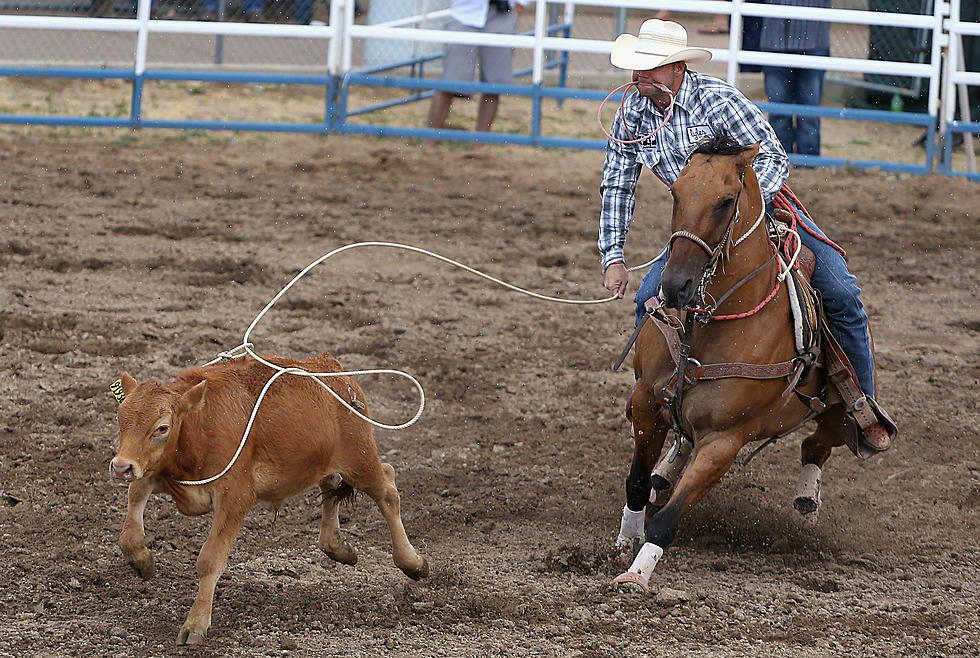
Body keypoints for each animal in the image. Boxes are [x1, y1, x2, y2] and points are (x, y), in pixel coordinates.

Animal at [109, 352, 426, 644]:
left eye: (161, 427)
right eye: (120, 419)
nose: (121, 466)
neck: (199, 428)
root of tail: (335, 371)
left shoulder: (236, 496)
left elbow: (210, 559)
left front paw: (195, 624)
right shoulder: (155, 473)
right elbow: (131, 519)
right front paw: (143, 561)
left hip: (360, 460)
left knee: (387, 489)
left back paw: (412, 562)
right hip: (324, 460)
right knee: (331, 486)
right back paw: (338, 547)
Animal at [612, 136, 872, 588]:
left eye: (725, 201)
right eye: (675, 193)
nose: (676, 285)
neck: (708, 325)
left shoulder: (724, 441)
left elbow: (668, 520)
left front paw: (637, 575)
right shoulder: (646, 402)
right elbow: (637, 483)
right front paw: (625, 542)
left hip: (838, 406)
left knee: (820, 440)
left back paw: (807, 498)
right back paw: (668, 467)